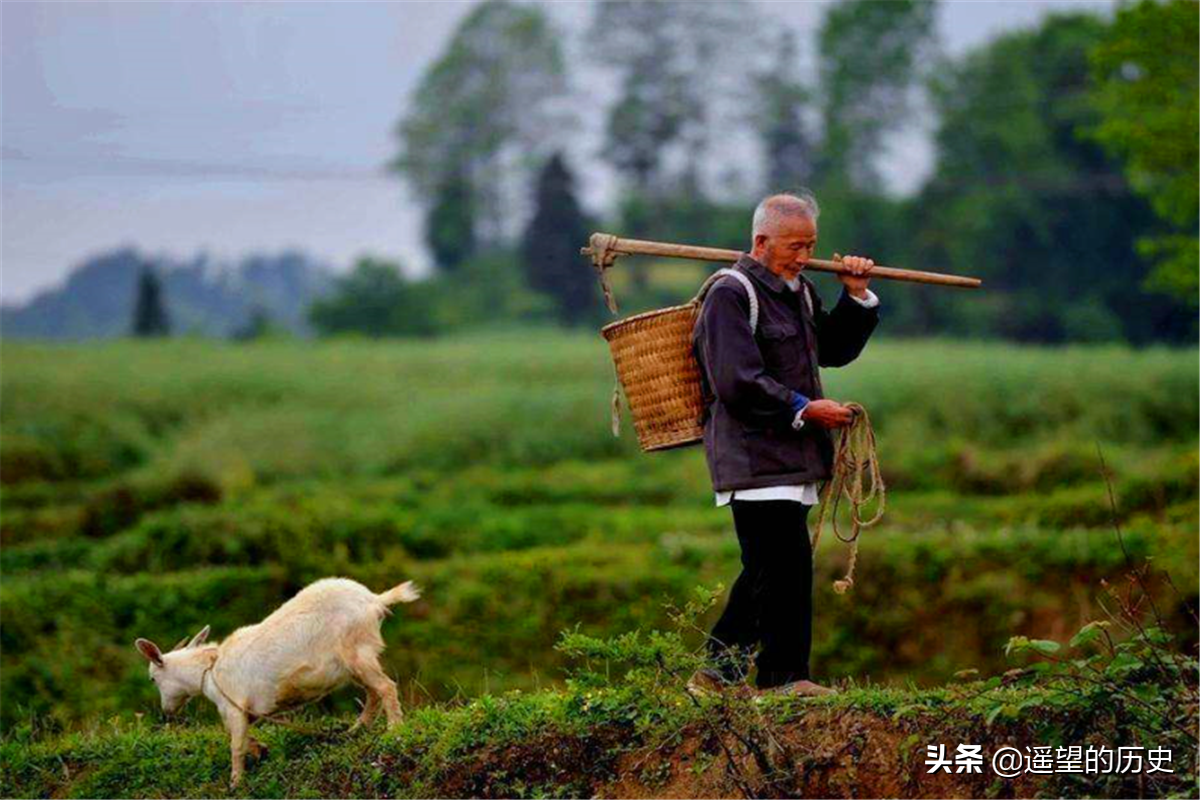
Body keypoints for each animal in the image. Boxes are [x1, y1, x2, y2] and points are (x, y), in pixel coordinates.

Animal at [132, 578, 417, 786]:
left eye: (153, 678)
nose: (167, 712)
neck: (210, 670)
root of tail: (374, 600)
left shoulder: (234, 707)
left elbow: (235, 744)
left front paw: (236, 783)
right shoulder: (246, 711)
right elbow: (240, 736)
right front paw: (261, 750)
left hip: (357, 652)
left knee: (385, 687)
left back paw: (394, 730)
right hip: (356, 662)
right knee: (373, 692)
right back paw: (356, 729)